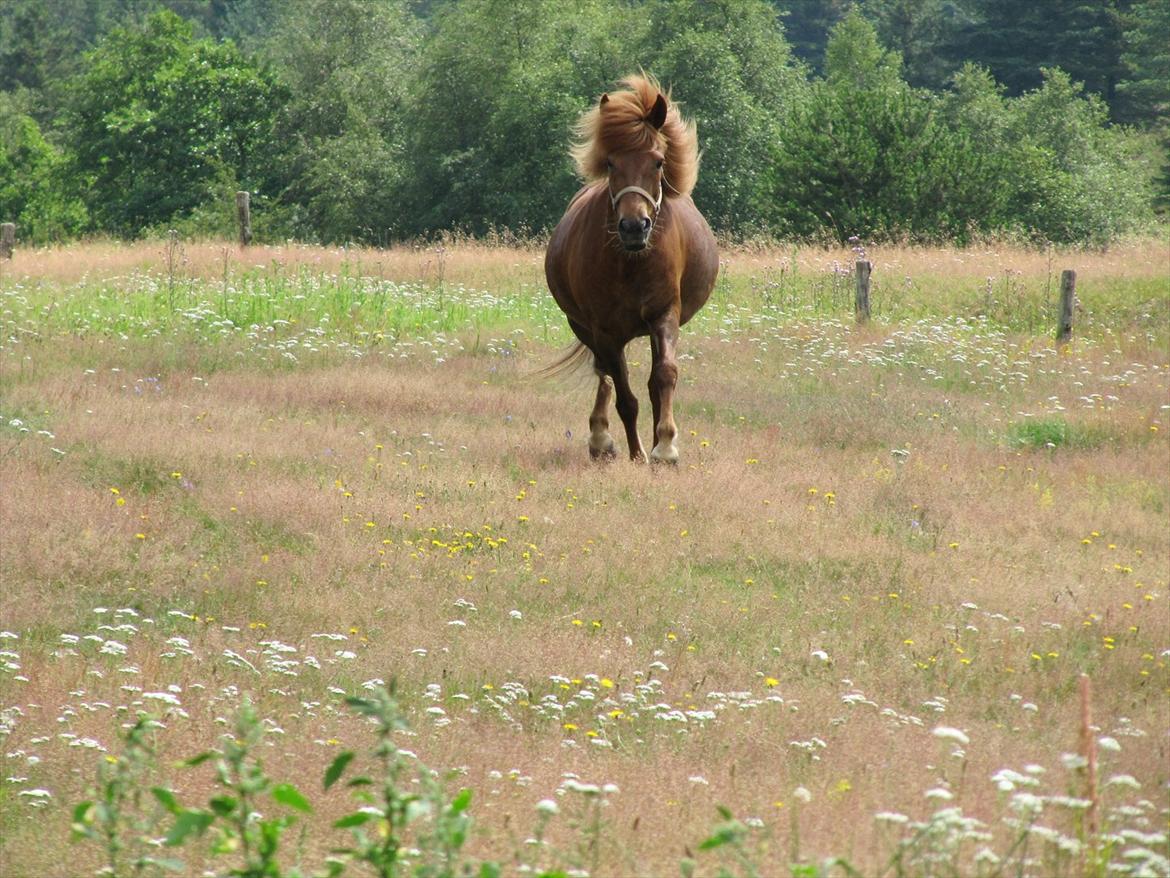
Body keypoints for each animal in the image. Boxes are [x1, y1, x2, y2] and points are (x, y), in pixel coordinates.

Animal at [542, 74, 716, 468]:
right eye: (610, 163)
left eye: (658, 162)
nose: (634, 227)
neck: (630, 262)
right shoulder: (604, 330)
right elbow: (624, 395)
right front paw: (636, 453)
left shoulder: (664, 314)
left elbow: (663, 376)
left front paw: (664, 448)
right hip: (585, 328)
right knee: (605, 375)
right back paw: (601, 440)